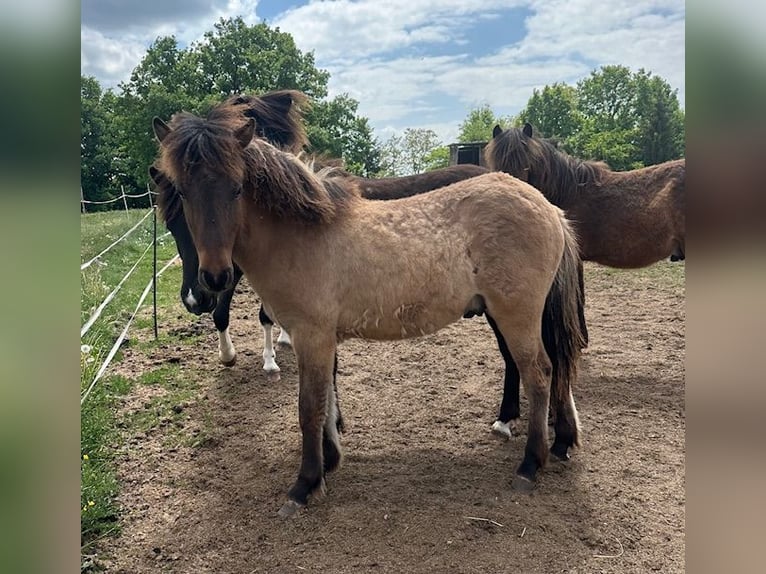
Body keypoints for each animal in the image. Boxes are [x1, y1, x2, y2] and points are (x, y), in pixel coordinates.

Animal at [152, 104, 587, 517]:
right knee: (553, 368)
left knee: (539, 374)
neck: (302, 234)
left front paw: (304, 484)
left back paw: (530, 464)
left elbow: (309, 407)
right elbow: (327, 400)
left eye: (237, 188)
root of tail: (549, 208)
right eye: (183, 192)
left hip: (517, 316)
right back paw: (559, 443)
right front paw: (328, 464)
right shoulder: (322, 339)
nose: (212, 280)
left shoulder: (311, 336)